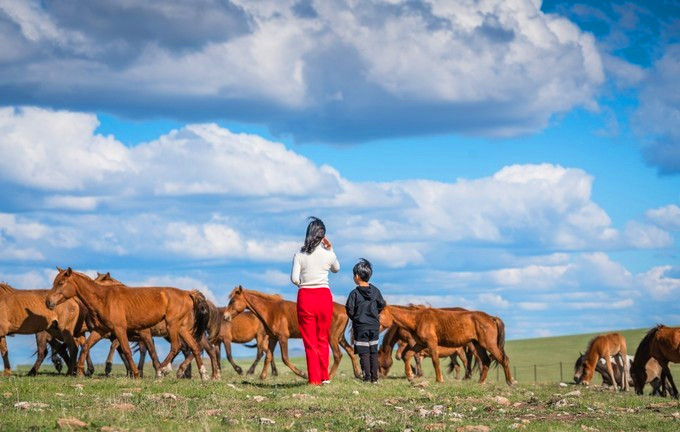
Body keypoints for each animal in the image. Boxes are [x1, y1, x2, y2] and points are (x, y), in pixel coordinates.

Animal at [46, 268, 210, 380]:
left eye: (61, 283)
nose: (48, 302)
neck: (103, 299)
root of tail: (187, 293)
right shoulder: (100, 331)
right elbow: (86, 346)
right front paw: (80, 371)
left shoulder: (120, 329)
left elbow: (127, 350)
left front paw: (136, 373)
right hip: (182, 329)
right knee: (195, 347)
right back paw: (203, 374)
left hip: (172, 326)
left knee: (177, 347)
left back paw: (162, 370)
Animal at [223, 286, 362, 380]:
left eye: (233, 301)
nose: (225, 316)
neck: (271, 311)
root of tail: (344, 309)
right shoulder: (273, 338)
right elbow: (269, 355)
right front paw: (262, 376)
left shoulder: (283, 338)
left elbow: (284, 358)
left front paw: (303, 374)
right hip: (339, 337)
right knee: (350, 351)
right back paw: (358, 374)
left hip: (332, 337)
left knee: (338, 355)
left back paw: (329, 376)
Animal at [380, 306, 512, 384]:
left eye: (380, 314)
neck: (418, 319)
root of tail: (492, 318)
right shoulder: (420, 344)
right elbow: (408, 355)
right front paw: (410, 376)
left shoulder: (431, 343)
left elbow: (435, 360)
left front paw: (439, 379)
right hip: (478, 345)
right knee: (485, 361)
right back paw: (480, 381)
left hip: (488, 345)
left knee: (503, 359)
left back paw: (509, 381)